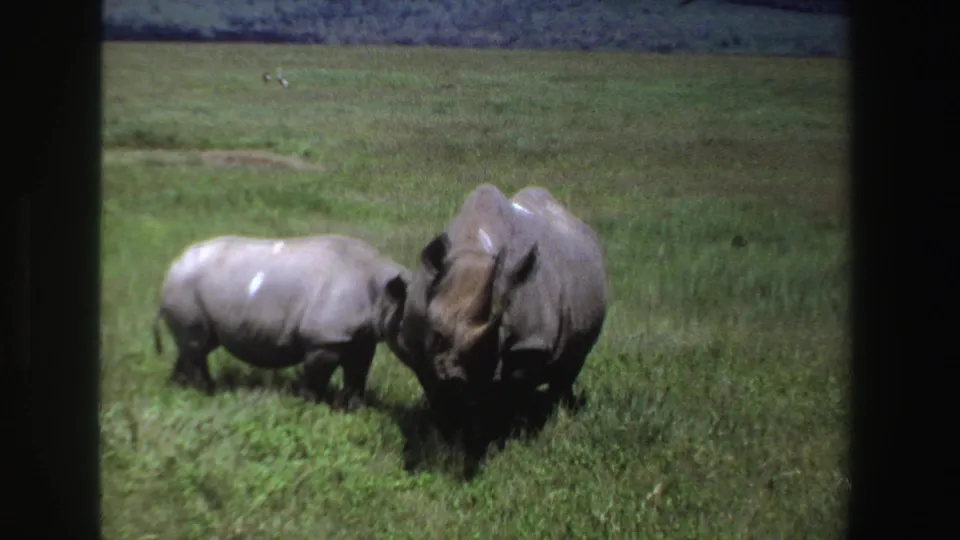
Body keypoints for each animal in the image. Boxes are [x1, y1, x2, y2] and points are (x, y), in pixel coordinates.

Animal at [152, 234, 411, 410]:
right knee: (196, 346)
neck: (384, 292)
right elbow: (316, 380)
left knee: (194, 346)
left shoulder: (362, 339)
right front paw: (311, 409)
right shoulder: (324, 340)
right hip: (184, 285)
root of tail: (173, 266)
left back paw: (180, 389)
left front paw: (353, 410)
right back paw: (206, 393)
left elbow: (357, 377)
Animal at [398, 184, 608, 420]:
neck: (473, 254)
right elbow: (434, 390)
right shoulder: (415, 340)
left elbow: (511, 392)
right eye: (437, 336)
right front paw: (448, 422)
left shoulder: (530, 343)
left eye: (500, 335)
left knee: (571, 365)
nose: (458, 380)